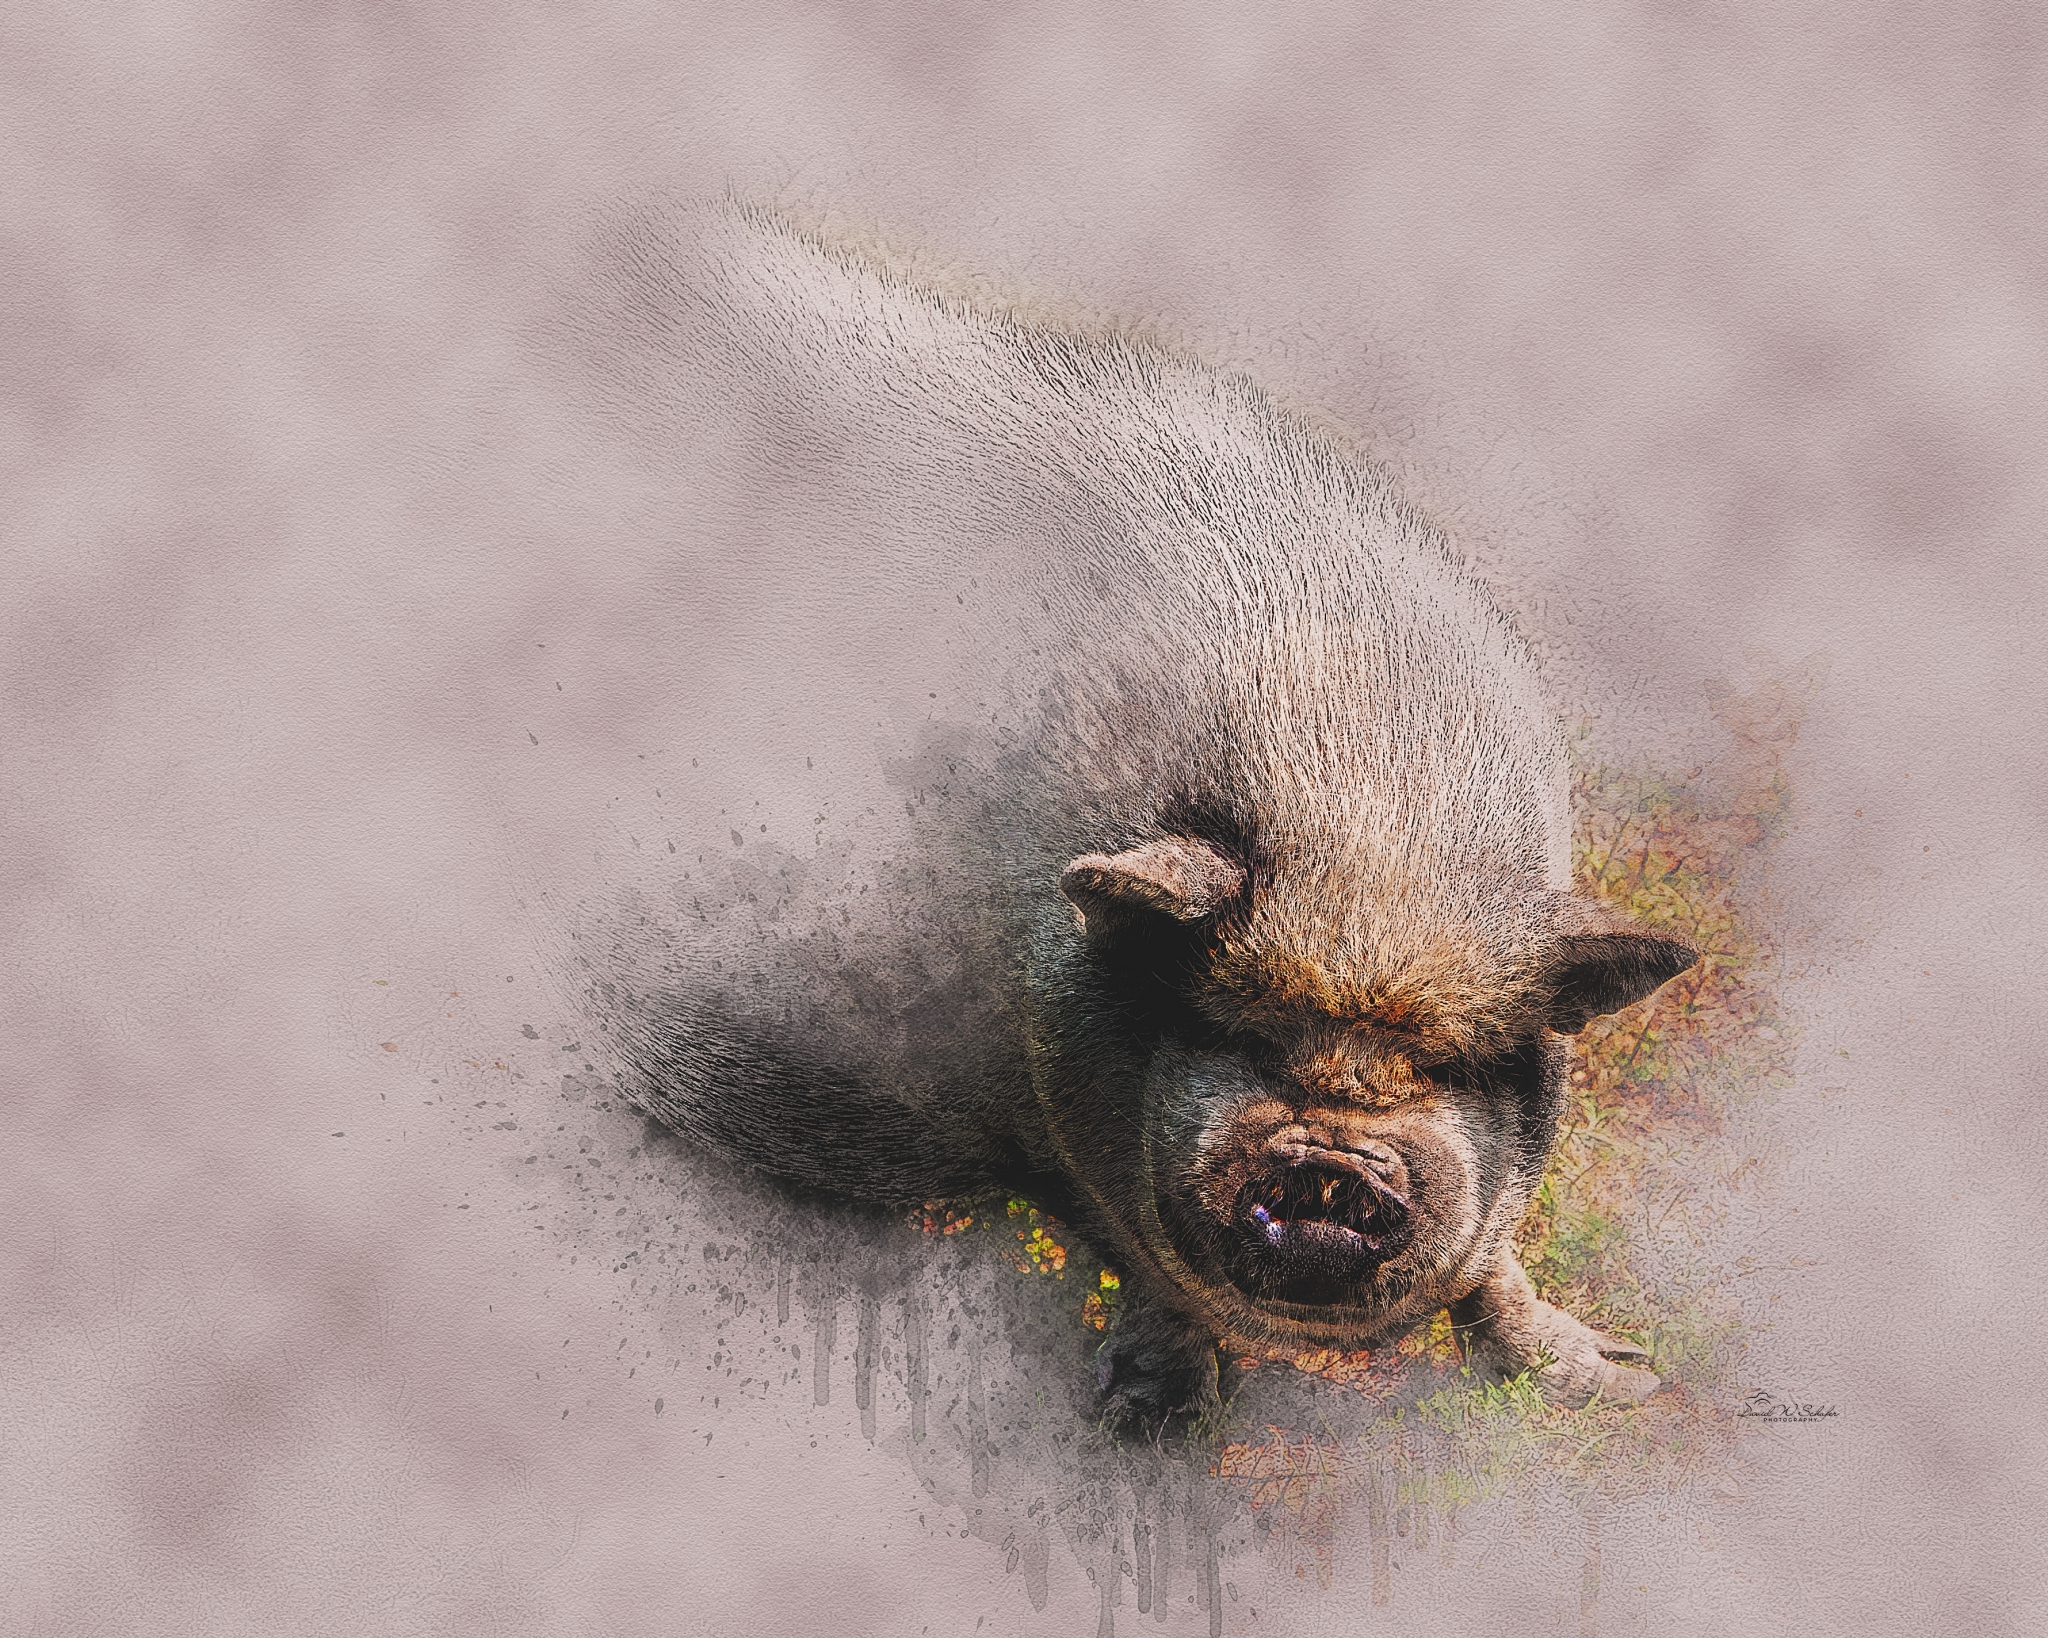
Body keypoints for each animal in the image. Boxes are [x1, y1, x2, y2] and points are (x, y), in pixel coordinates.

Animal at [558, 202, 1699, 1431]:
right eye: (1240, 1035)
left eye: (1443, 1062)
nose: (1332, 1164)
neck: (1363, 806)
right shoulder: (1050, 1103)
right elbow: (1142, 1256)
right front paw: (1151, 1428)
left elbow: (1492, 1268)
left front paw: (1620, 1381)